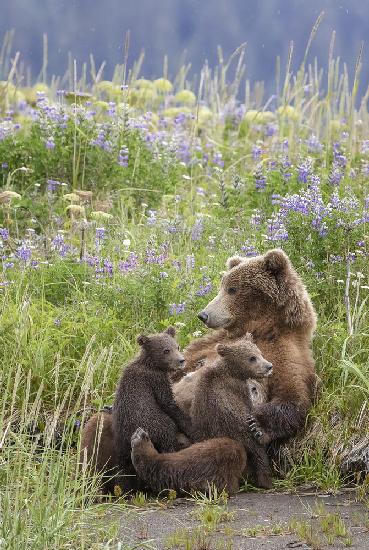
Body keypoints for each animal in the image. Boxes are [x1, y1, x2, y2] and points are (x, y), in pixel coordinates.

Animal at [182, 250, 316, 448]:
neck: (261, 329)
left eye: (232, 289)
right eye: (222, 286)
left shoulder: (286, 354)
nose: (203, 315)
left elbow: (293, 394)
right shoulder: (208, 344)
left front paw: (258, 425)